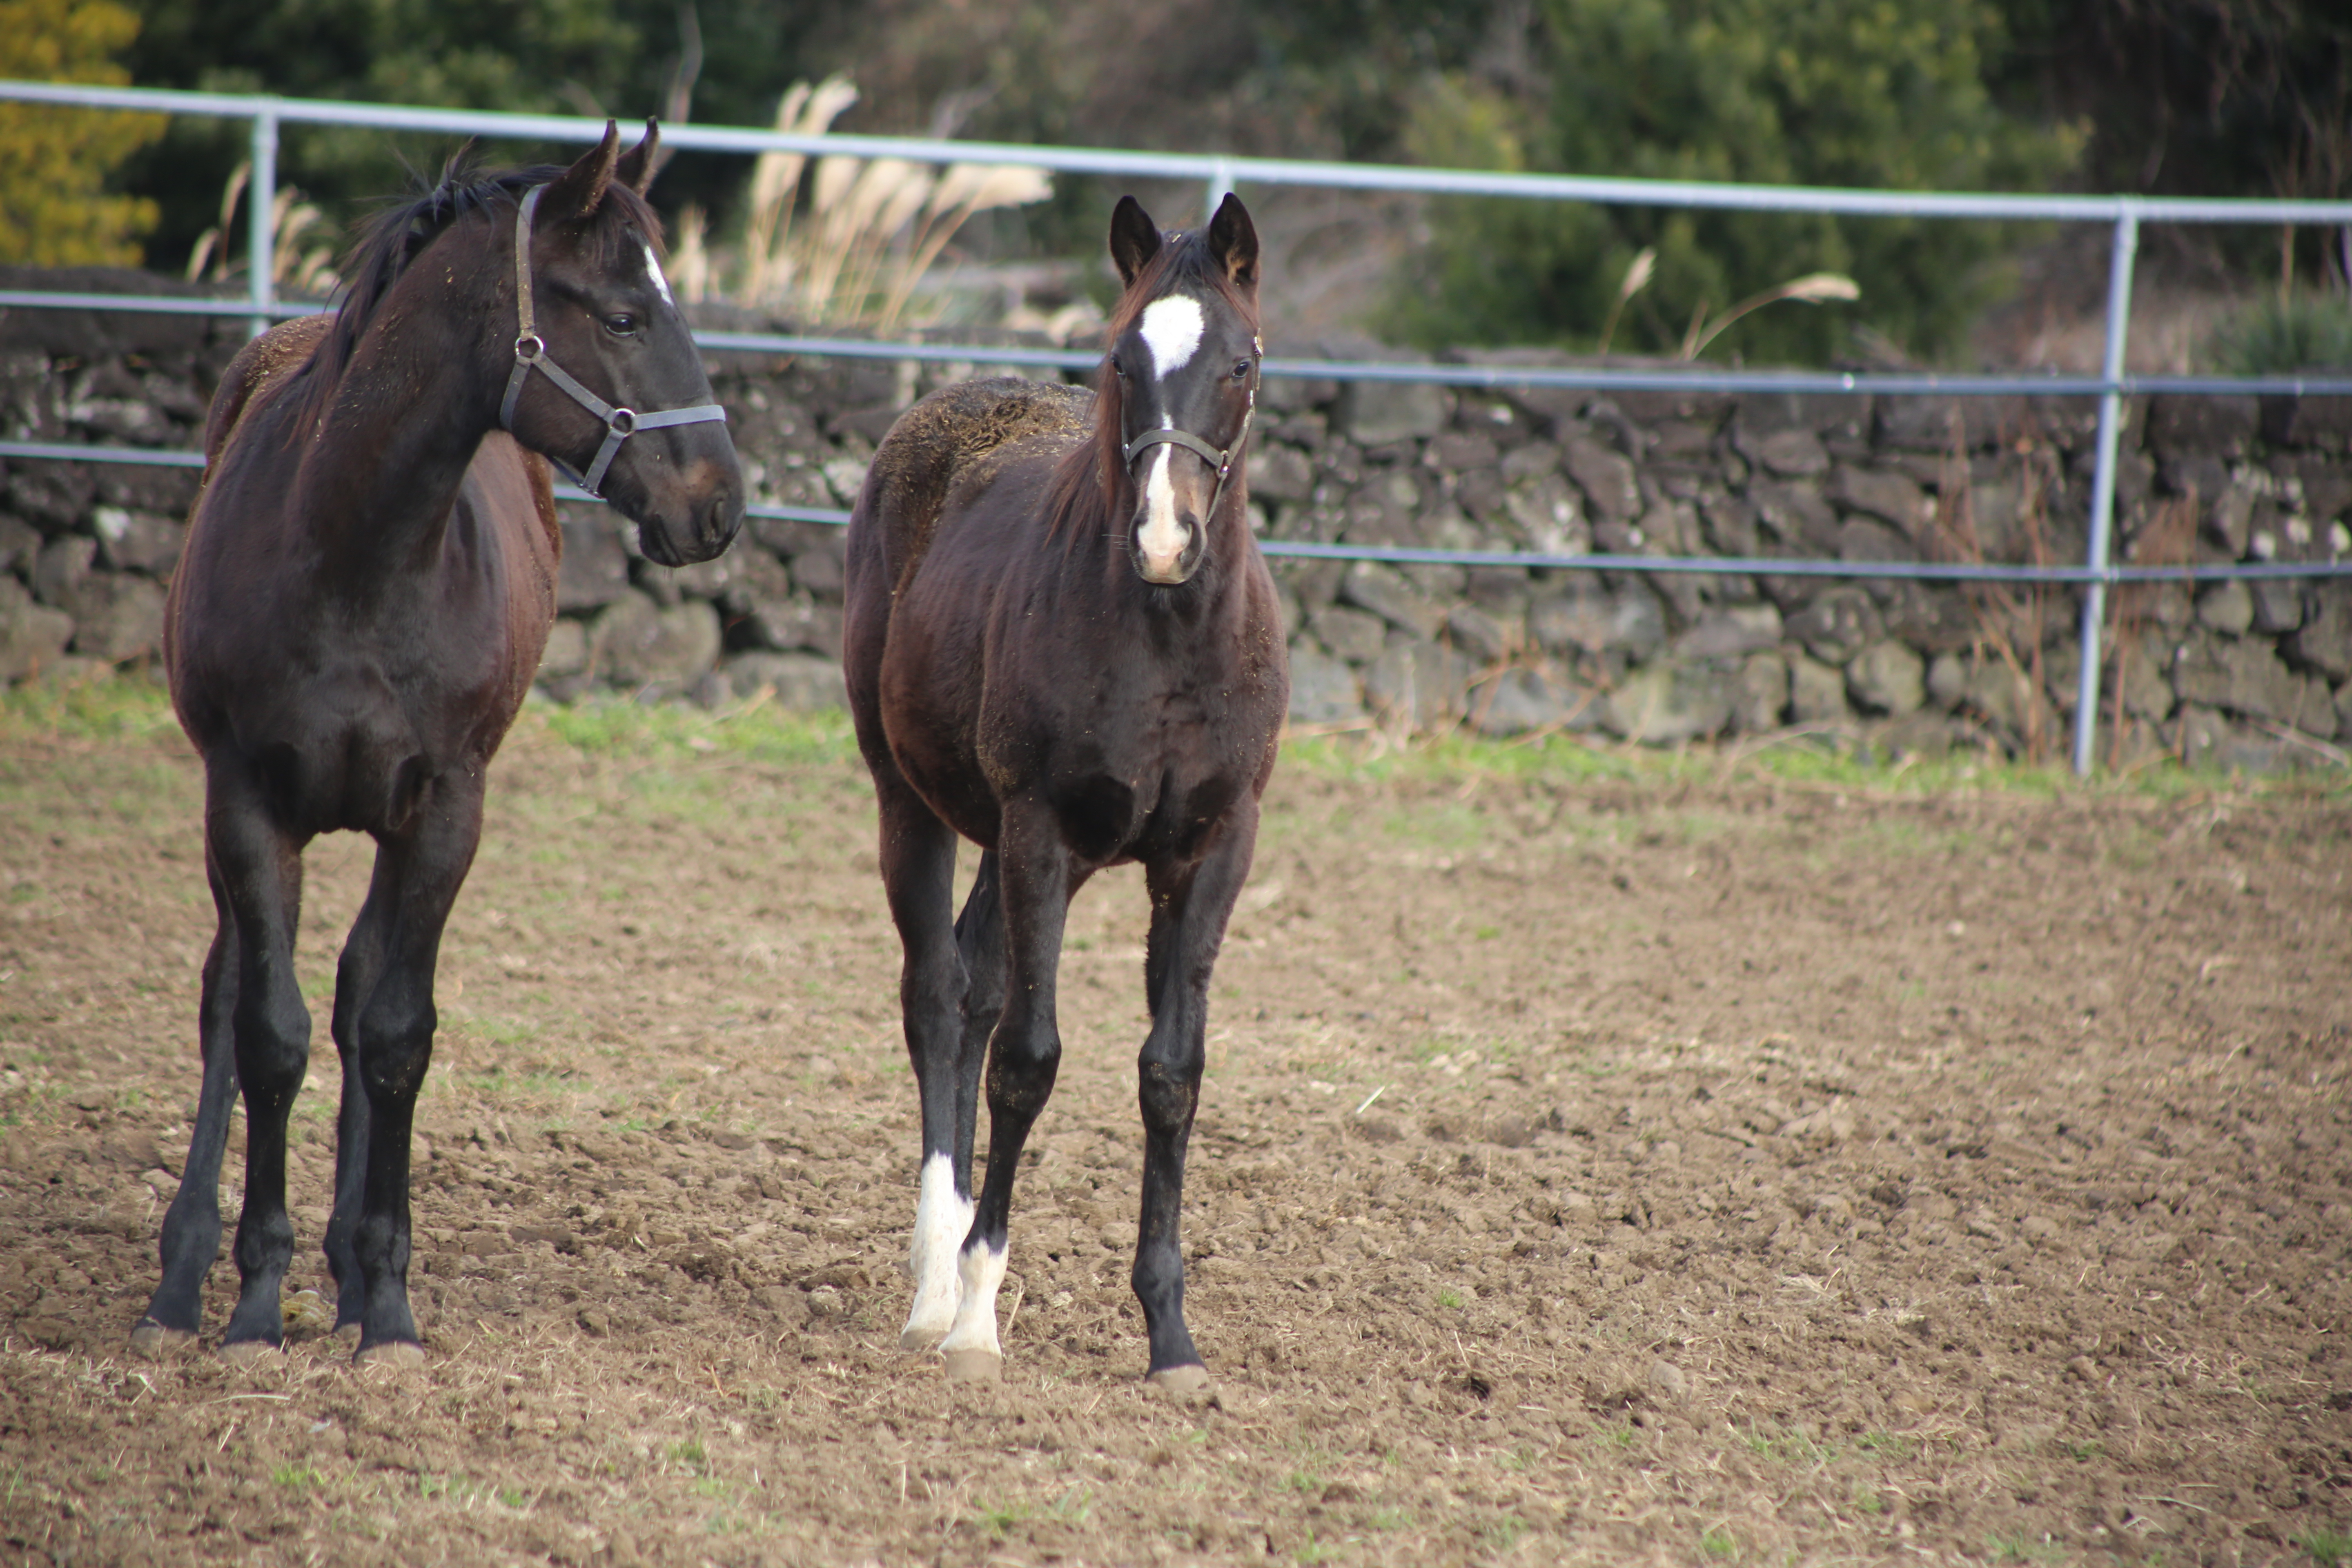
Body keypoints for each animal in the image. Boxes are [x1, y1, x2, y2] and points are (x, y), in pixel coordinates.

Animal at [133, 122, 738, 1363]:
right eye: (621, 316)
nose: (719, 506)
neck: (356, 553)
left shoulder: (447, 808)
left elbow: (395, 1033)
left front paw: (388, 1305)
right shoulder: (247, 802)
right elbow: (268, 1032)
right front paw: (254, 1301)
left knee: (361, 986)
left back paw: (346, 1271)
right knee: (229, 994)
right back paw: (183, 1275)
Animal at [846, 193, 1289, 1382]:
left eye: (1240, 363)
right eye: (1120, 359)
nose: (1167, 540)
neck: (1169, 642)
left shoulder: (1211, 850)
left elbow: (1172, 1073)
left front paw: (1170, 1335)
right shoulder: (1043, 829)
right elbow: (1026, 1060)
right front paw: (976, 1316)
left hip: (1004, 841)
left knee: (974, 984)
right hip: (913, 804)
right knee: (938, 997)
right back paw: (931, 1279)